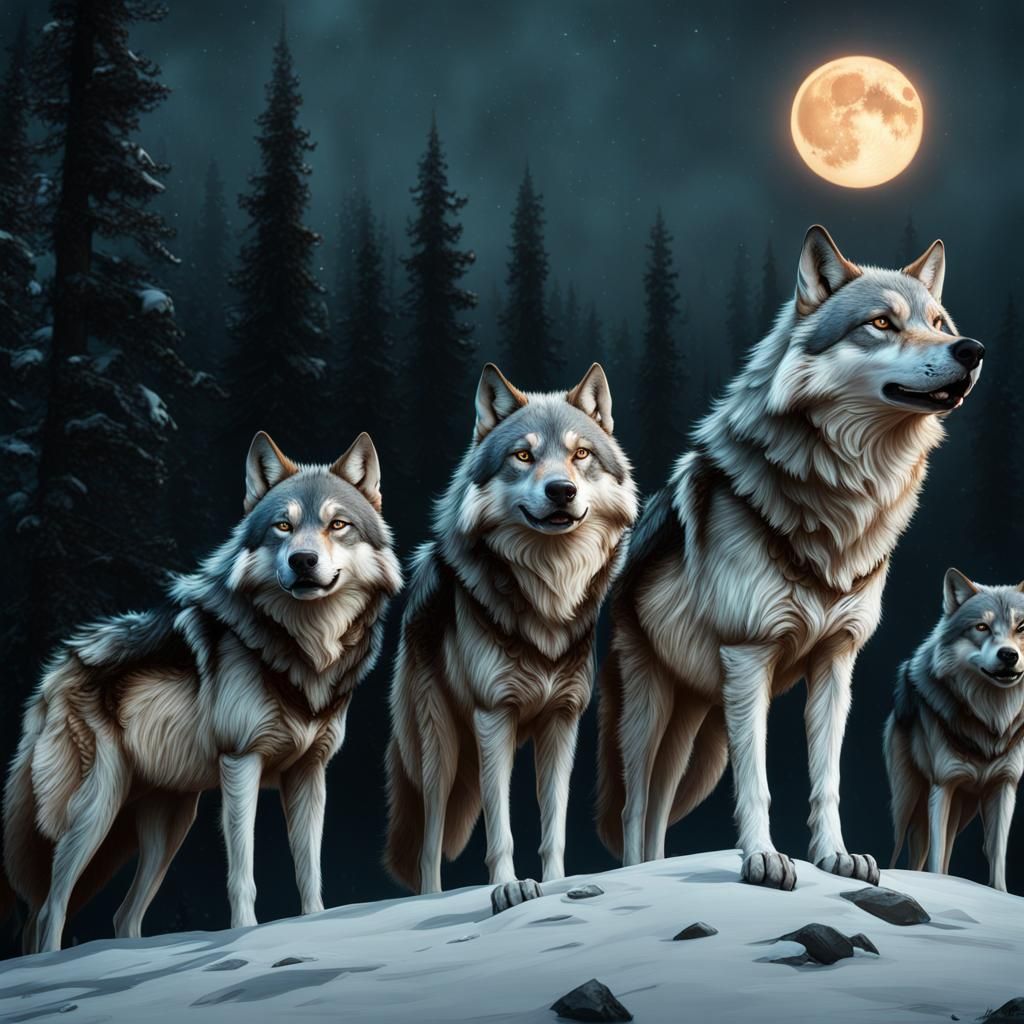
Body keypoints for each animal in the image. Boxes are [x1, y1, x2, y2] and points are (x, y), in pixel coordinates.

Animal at [3, 432, 402, 952]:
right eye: (282, 526)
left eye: (338, 525)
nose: (303, 560)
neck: (305, 649)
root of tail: (52, 673)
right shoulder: (241, 762)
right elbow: (242, 874)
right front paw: (246, 935)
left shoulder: (310, 772)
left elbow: (310, 870)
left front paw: (313, 927)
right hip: (96, 808)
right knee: (50, 909)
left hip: (169, 825)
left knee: (122, 916)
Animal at [384, 363, 637, 894]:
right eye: (523, 455)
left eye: (580, 454)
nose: (561, 490)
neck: (548, 596)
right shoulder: (493, 716)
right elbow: (500, 827)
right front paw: (508, 888)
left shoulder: (563, 720)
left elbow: (553, 823)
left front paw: (557, 882)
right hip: (439, 748)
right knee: (429, 840)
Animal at [596, 225, 984, 890]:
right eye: (882, 323)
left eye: (938, 322)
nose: (972, 349)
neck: (843, 495)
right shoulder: (749, 655)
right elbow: (757, 782)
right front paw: (761, 859)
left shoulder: (836, 662)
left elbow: (825, 779)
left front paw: (837, 857)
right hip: (651, 711)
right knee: (636, 805)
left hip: (697, 722)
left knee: (658, 809)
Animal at [885, 569, 1024, 891]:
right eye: (982, 627)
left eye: (1022, 626)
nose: (1009, 655)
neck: (990, 722)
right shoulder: (943, 785)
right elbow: (935, 857)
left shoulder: (1005, 787)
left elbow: (997, 856)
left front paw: (1000, 895)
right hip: (908, 801)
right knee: (902, 851)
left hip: (963, 810)